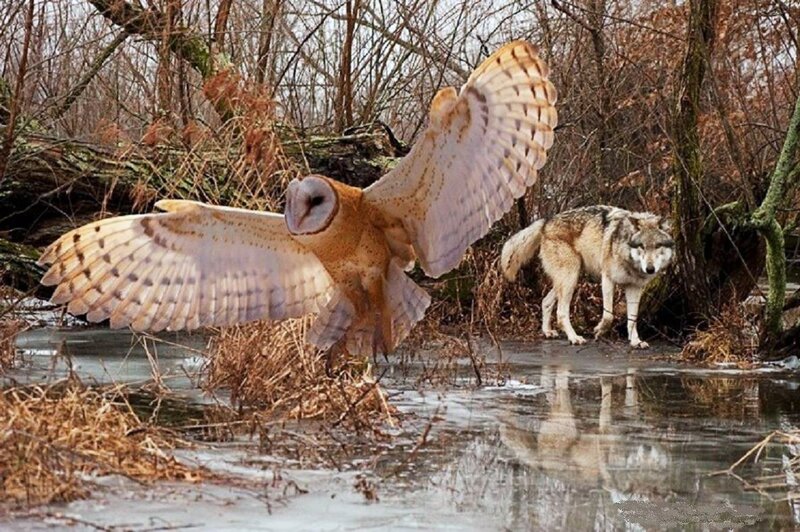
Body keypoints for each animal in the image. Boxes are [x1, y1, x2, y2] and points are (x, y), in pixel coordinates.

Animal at [501, 206, 673, 348]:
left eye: (657, 246)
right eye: (642, 246)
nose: (650, 269)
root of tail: (546, 221)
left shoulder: (635, 288)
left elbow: (633, 318)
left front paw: (636, 341)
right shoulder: (607, 279)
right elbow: (609, 315)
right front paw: (599, 331)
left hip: (568, 279)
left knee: (545, 302)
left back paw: (547, 331)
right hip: (570, 277)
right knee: (561, 313)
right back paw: (574, 338)